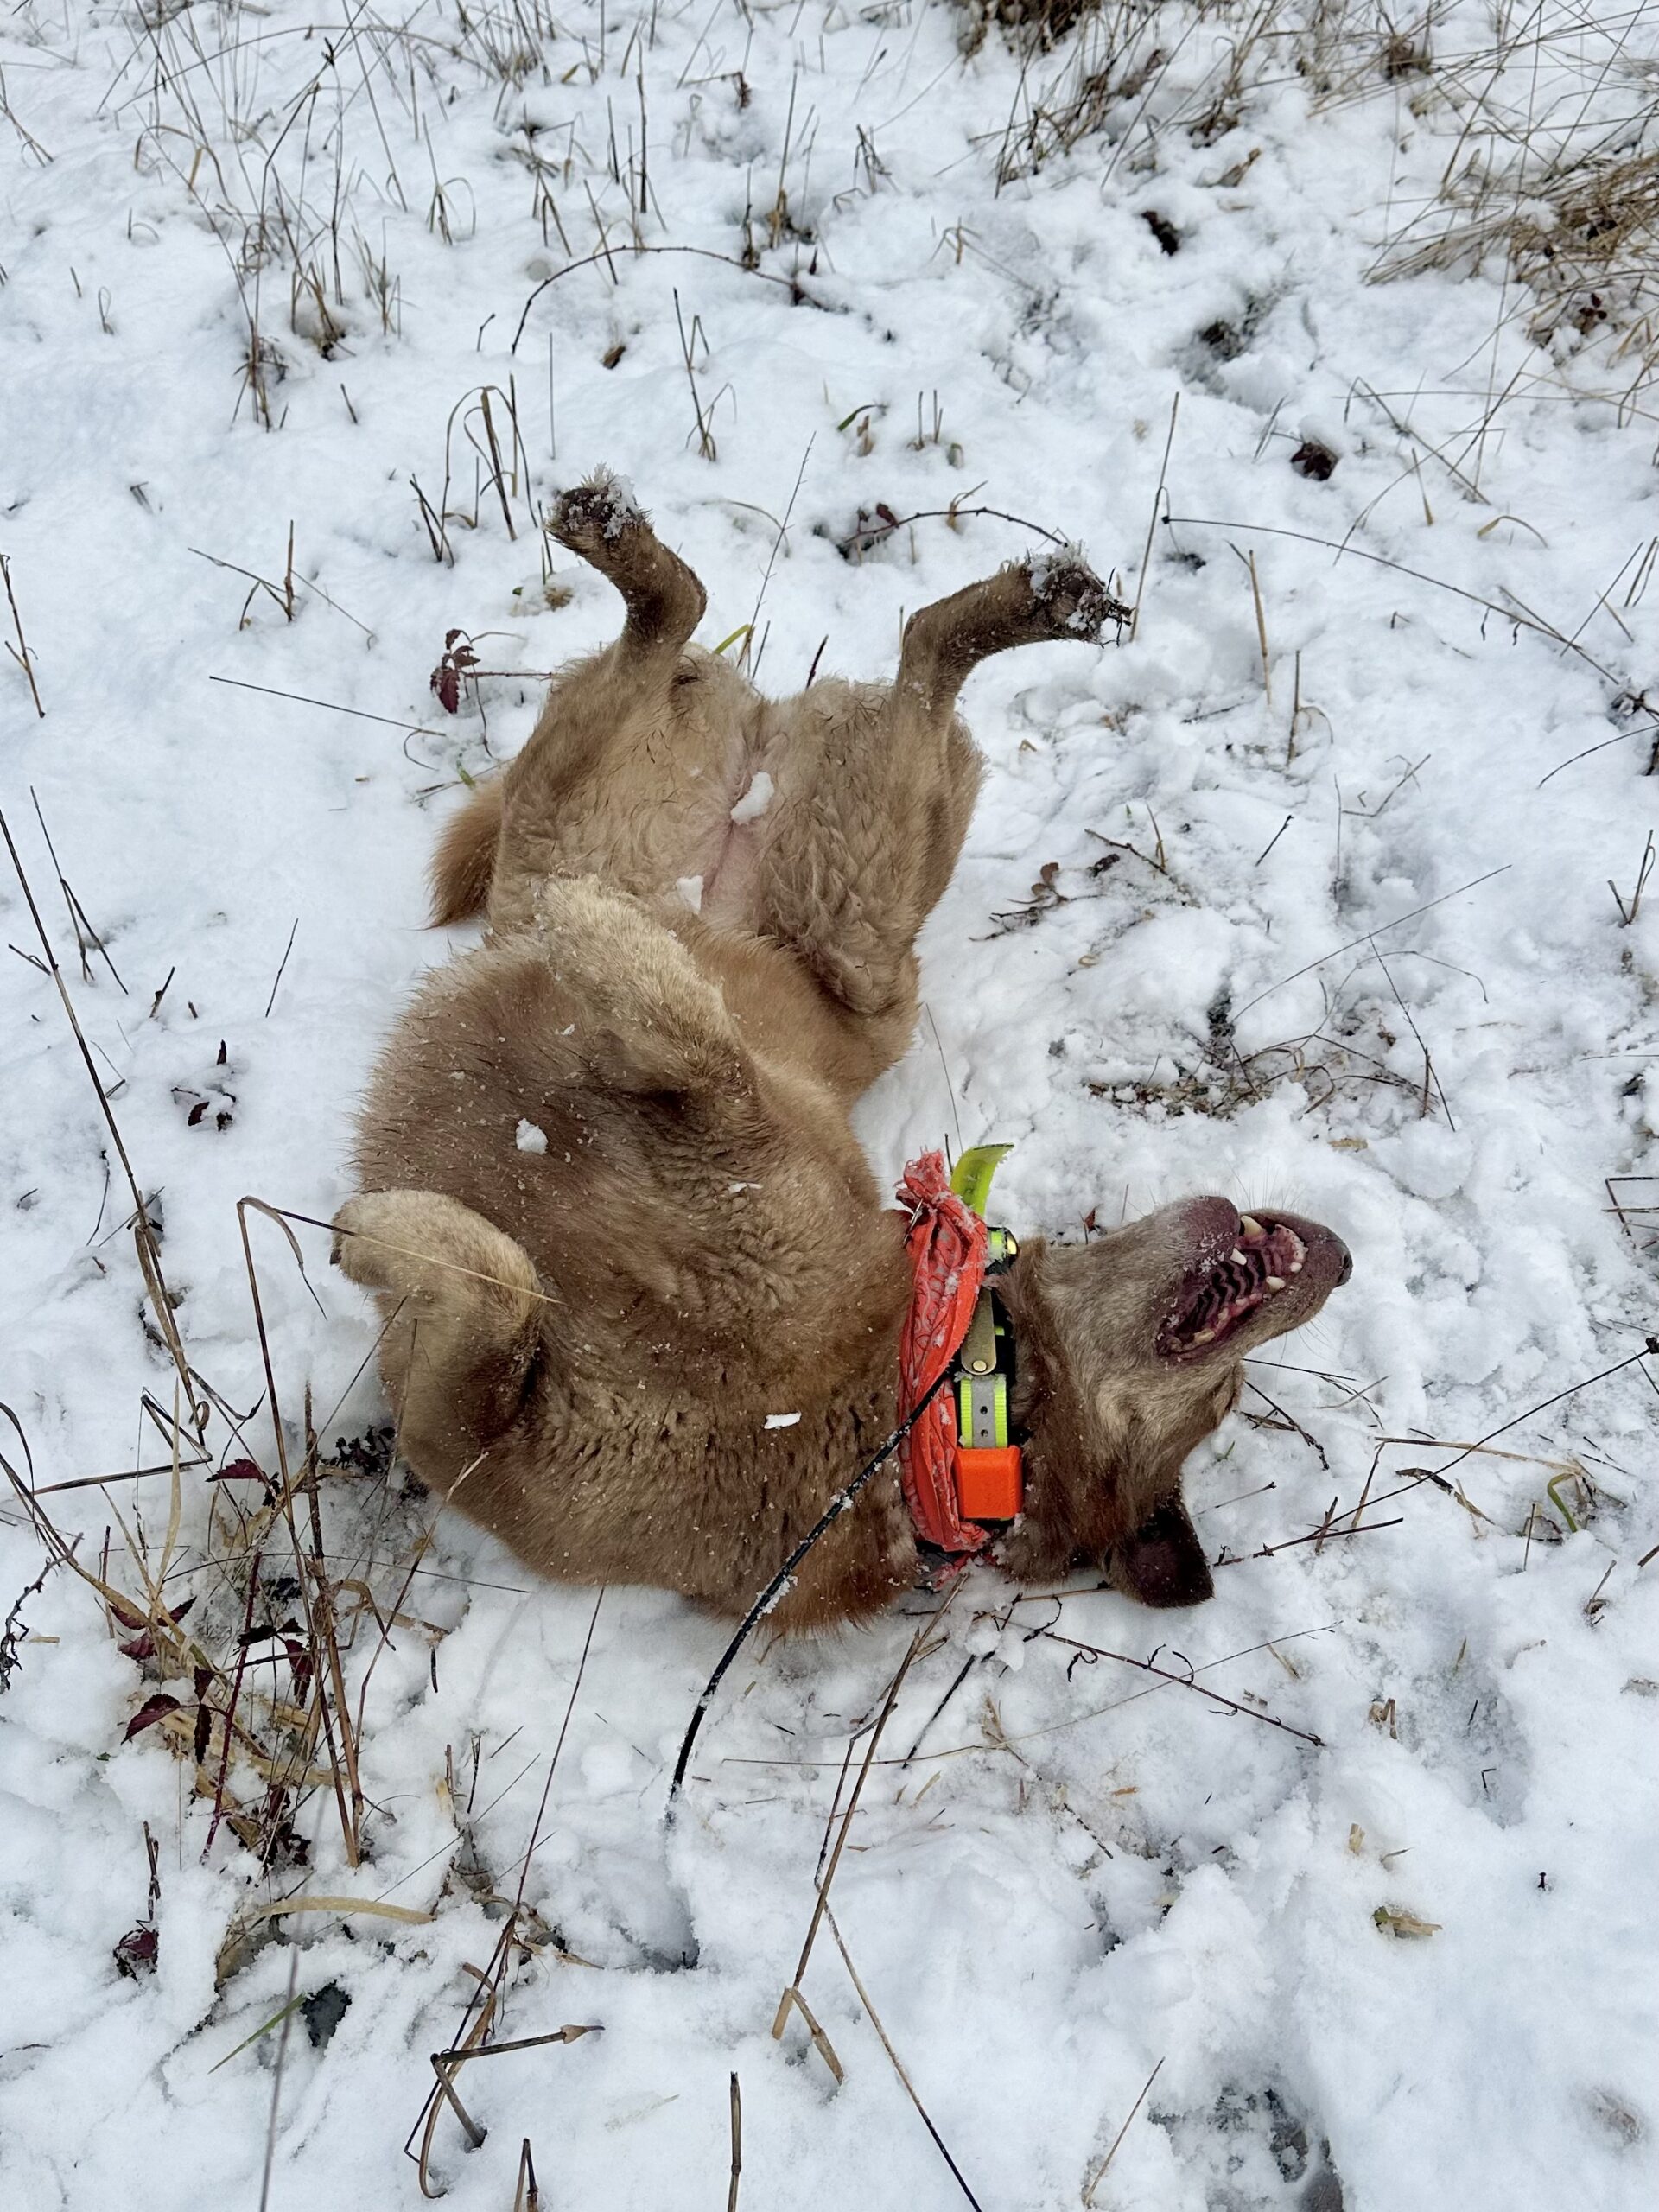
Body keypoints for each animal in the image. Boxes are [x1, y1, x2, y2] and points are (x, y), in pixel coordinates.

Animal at [338, 480, 1353, 1628]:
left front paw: (384, 1232)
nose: (1338, 1255)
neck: (917, 1409)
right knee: (813, 645)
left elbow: (505, 1286)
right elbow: (693, 1054)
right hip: (715, 839)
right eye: (1224, 1398)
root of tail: (756, 758)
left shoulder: (483, 1446)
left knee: (826, 645)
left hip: (829, 916)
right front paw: (619, 958)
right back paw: (1031, 595)